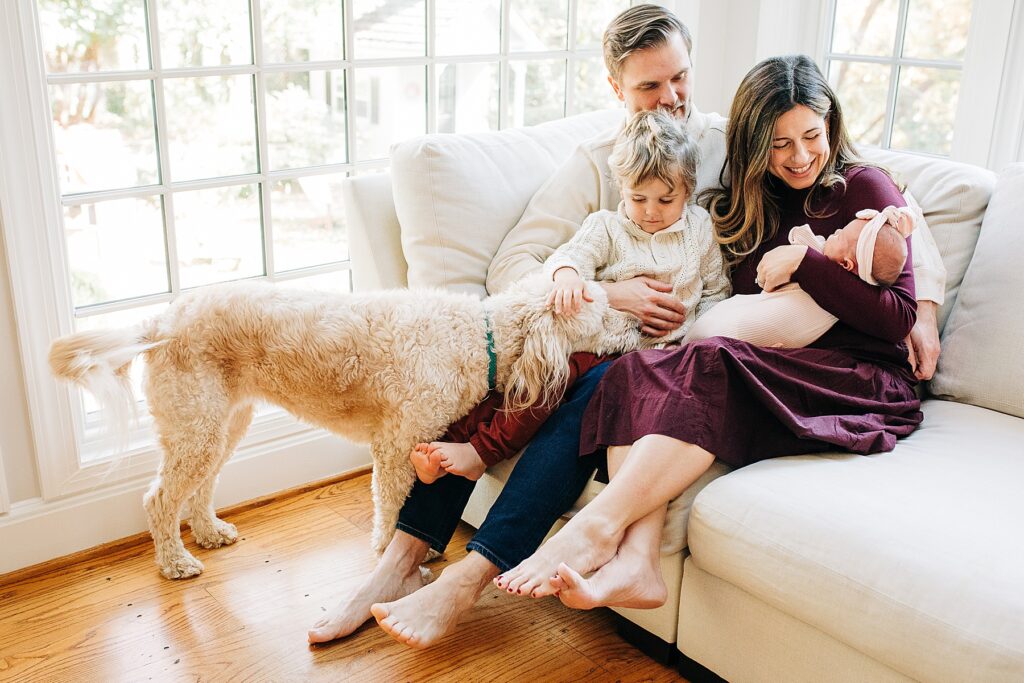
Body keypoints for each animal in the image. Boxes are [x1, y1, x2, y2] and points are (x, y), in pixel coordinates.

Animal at [49, 274, 638, 581]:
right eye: (604, 311)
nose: (639, 325)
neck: (482, 337)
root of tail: (161, 320)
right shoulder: (397, 446)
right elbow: (393, 506)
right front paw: (392, 555)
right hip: (198, 427)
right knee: (159, 500)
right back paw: (174, 562)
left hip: (220, 425)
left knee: (198, 488)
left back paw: (210, 532)